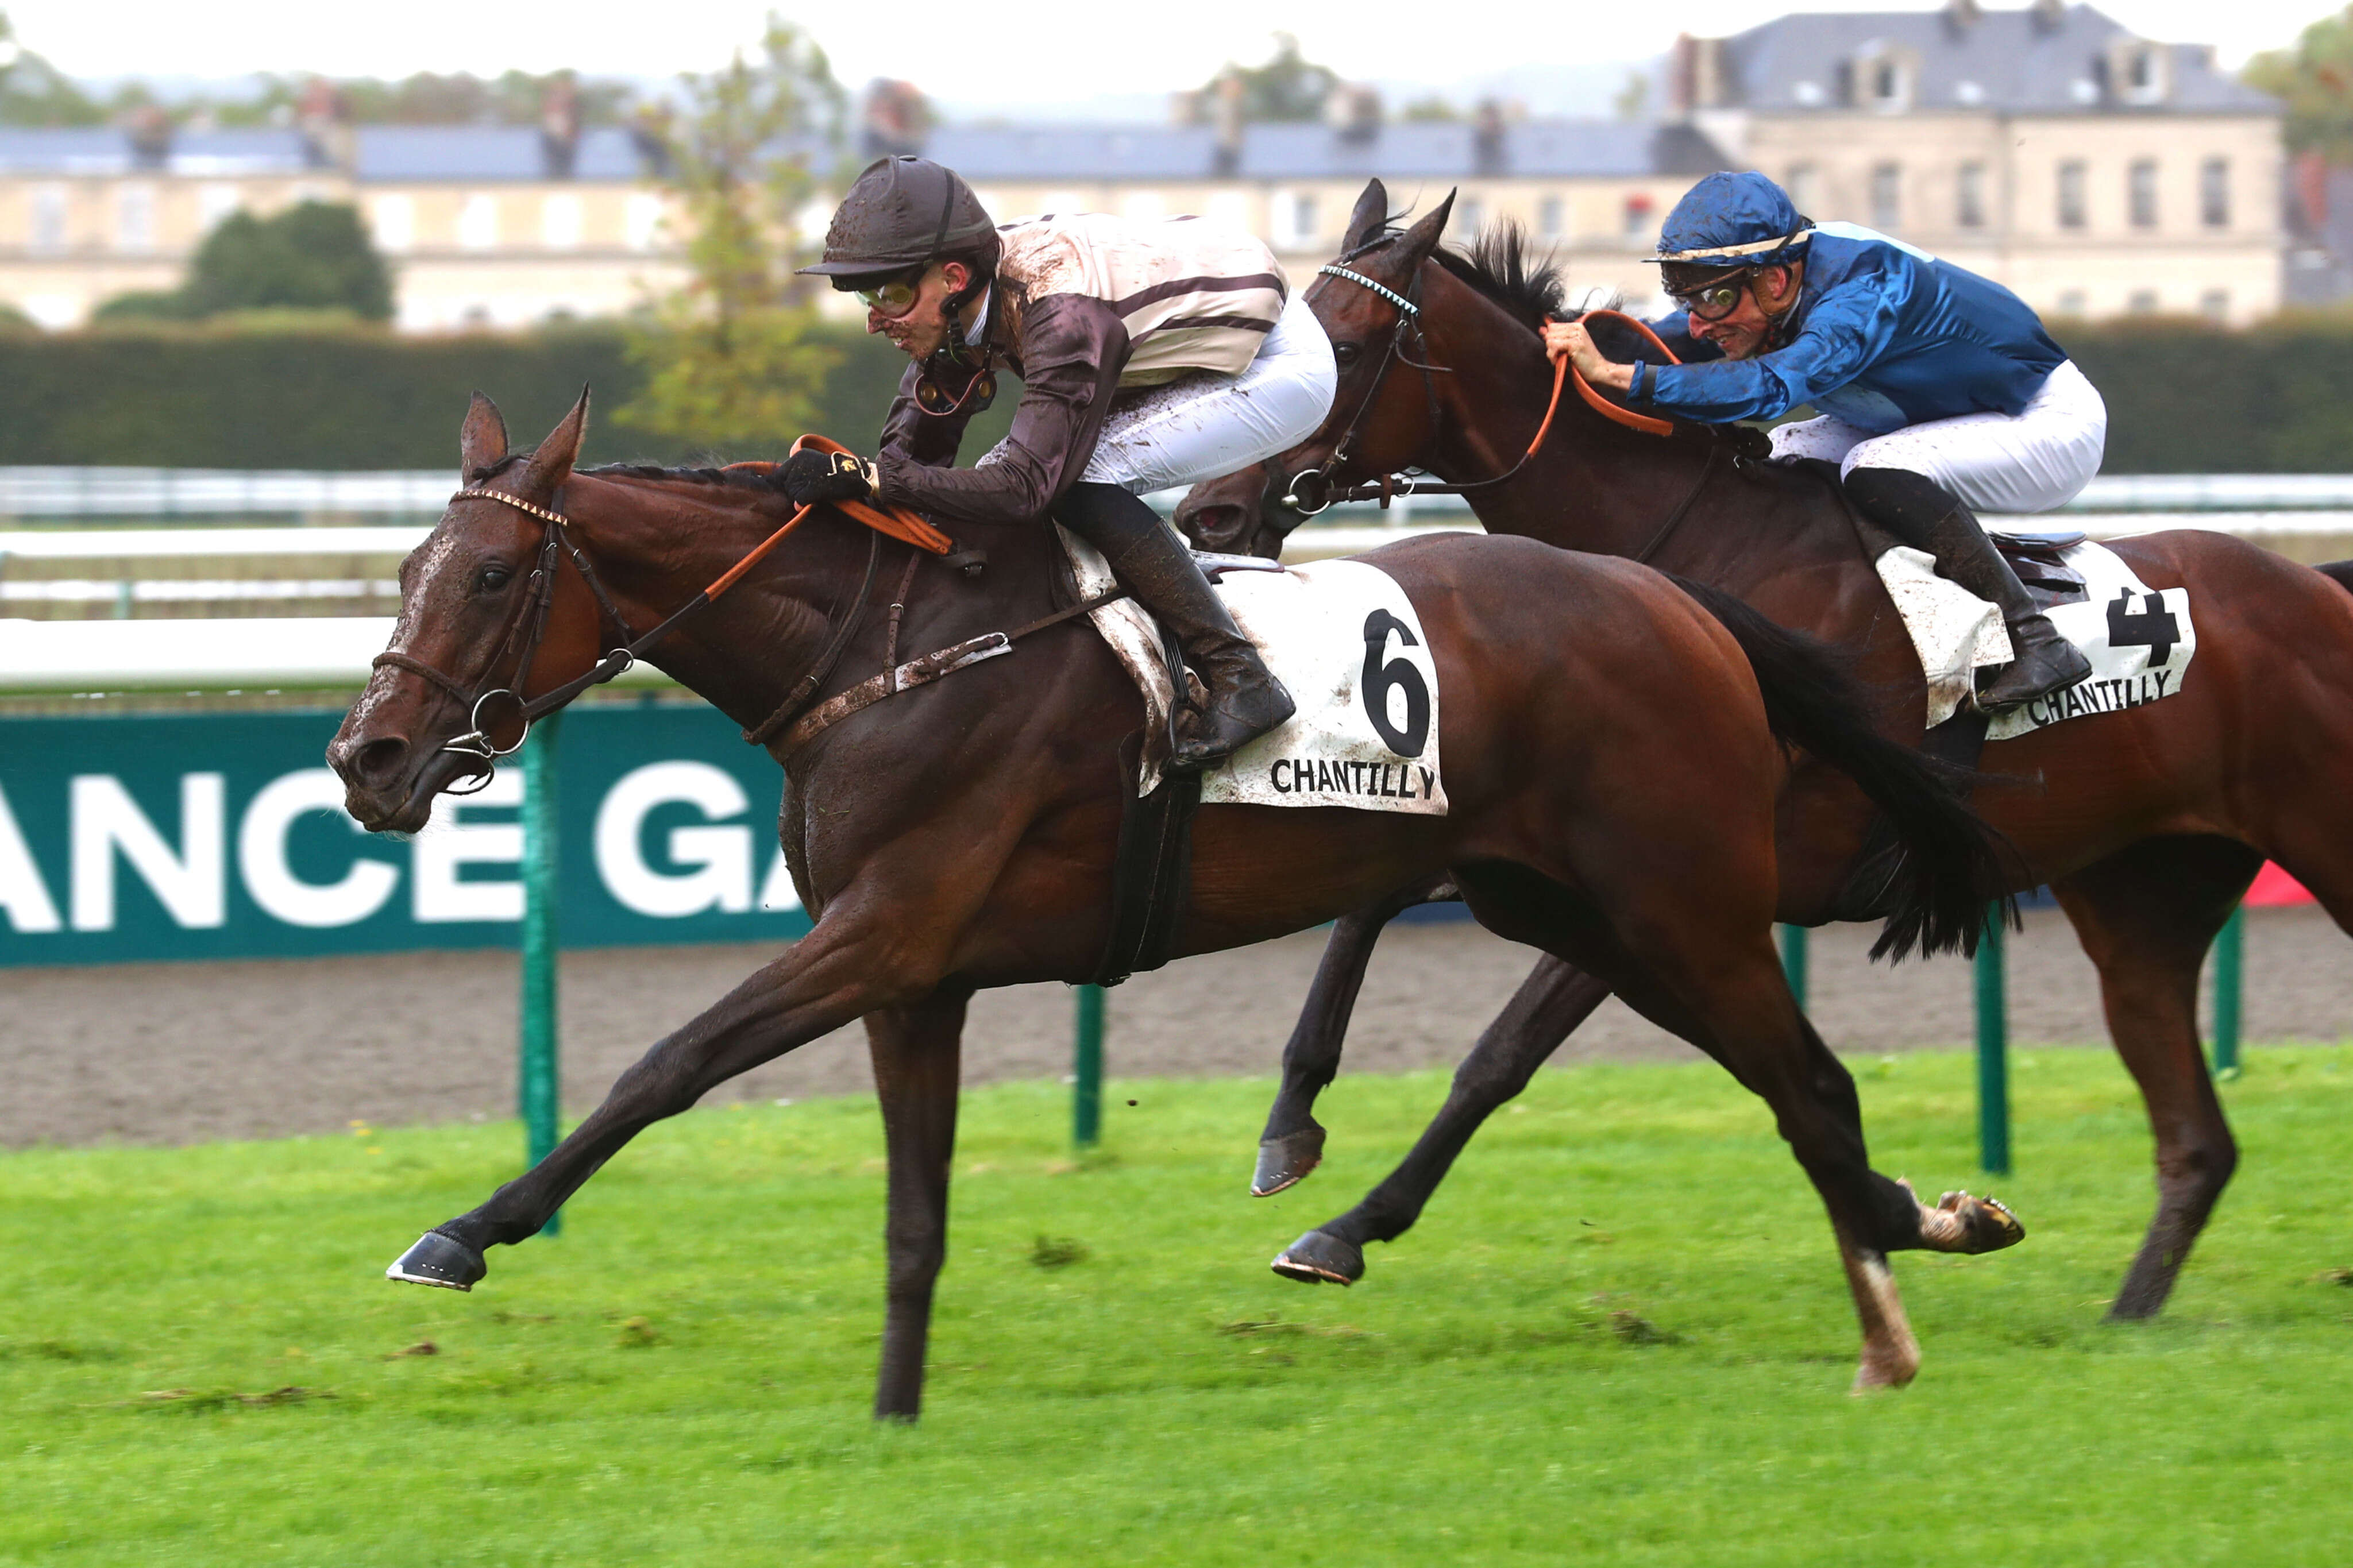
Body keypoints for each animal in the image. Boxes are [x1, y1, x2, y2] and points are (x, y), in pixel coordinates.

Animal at [331, 385, 2023, 1420]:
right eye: (410, 566)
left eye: (491, 578)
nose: (369, 757)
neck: (889, 647)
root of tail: (1683, 599)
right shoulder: (916, 973)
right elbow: (913, 1214)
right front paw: (893, 1411)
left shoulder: (884, 928)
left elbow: (663, 1064)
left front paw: (464, 1232)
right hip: (1576, 911)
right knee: (1788, 1085)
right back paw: (1933, 1223)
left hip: (1677, 905)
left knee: (1808, 1084)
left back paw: (1888, 1328)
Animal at [1186, 177, 2353, 1316]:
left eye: (1340, 352)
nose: (1213, 513)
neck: (1685, 556)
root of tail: (2315, 584)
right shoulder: (1514, 828)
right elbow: (1367, 910)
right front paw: (1291, 1127)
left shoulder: (1683, 877)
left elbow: (1497, 1055)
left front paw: (1346, 1228)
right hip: (2142, 894)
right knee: (2197, 1137)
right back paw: (2130, 1311)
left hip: (2308, 835)